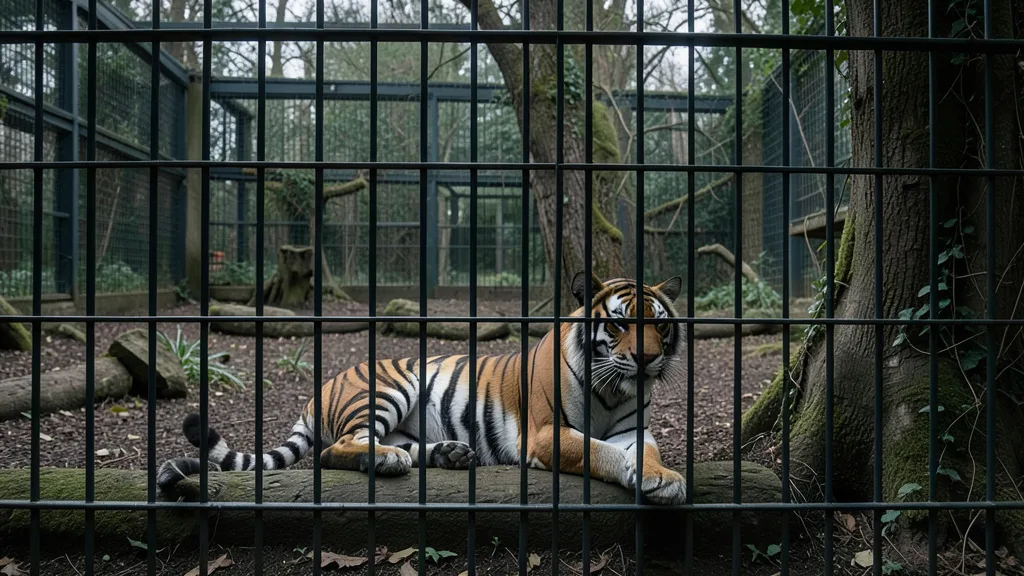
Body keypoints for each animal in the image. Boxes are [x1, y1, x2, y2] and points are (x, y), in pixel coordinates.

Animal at [157, 272, 687, 505]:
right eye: (618, 325)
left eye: (660, 325)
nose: (646, 359)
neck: (614, 388)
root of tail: (318, 390)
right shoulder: (544, 434)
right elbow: (597, 450)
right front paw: (653, 478)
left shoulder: (634, 428)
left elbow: (645, 451)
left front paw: (663, 477)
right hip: (387, 389)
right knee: (336, 450)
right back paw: (389, 461)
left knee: (402, 447)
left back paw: (447, 454)